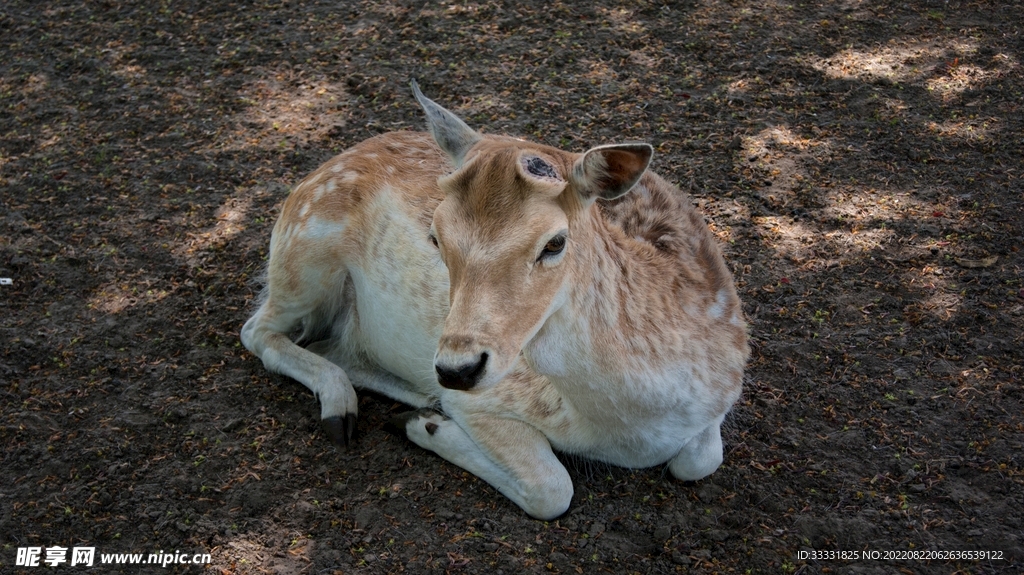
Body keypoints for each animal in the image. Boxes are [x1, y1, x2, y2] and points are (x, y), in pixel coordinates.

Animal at [240, 80, 749, 520]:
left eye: (555, 242)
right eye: (435, 236)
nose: (456, 369)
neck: (634, 429)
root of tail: (331, 161)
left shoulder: (722, 395)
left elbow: (699, 460)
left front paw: (422, 418)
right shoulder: (491, 398)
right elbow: (553, 488)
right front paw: (425, 426)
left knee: (328, 345)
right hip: (305, 251)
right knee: (258, 330)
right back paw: (346, 408)